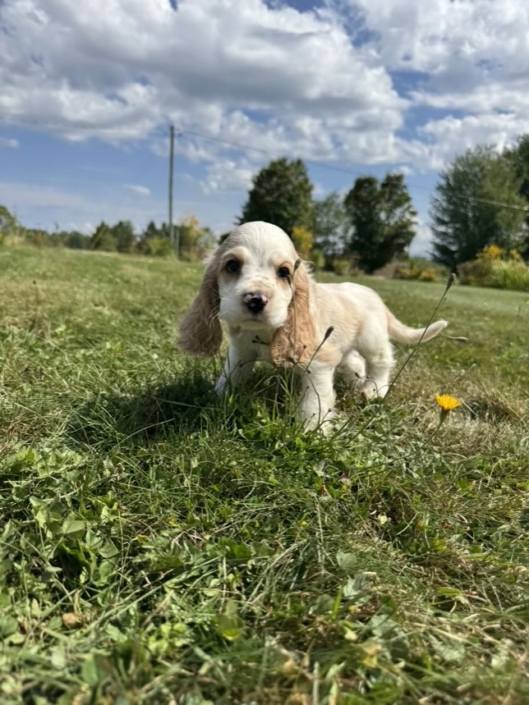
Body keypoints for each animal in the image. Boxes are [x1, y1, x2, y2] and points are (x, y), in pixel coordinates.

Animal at [179, 221, 448, 430]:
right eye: (232, 265)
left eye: (284, 272)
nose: (255, 299)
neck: (266, 331)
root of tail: (374, 295)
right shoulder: (241, 353)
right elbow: (229, 377)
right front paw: (214, 399)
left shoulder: (318, 362)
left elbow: (314, 402)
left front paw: (312, 432)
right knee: (355, 362)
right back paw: (358, 382)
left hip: (372, 340)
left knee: (380, 363)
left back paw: (374, 390)